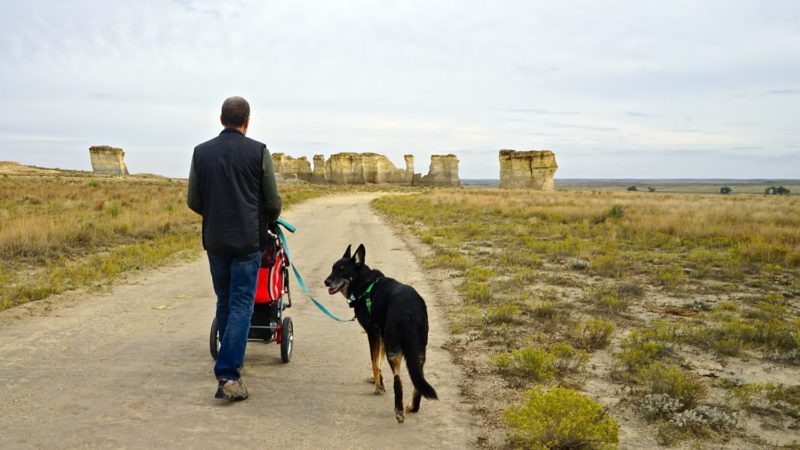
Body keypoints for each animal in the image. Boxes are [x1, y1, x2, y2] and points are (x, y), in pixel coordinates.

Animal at [324, 243, 438, 422]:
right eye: (332, 268)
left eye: (342, 270)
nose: (326, 282)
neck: (363, 282)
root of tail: (410, 308)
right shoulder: (381, 335)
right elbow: (379, 361)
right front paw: (378, 380)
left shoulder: (373, 334)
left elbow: (374, 362)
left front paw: (378, 386)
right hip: (419, 350)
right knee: (417, 379)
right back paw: (413, 406)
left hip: (394, 348)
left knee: (399, 381)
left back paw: (399, 410)